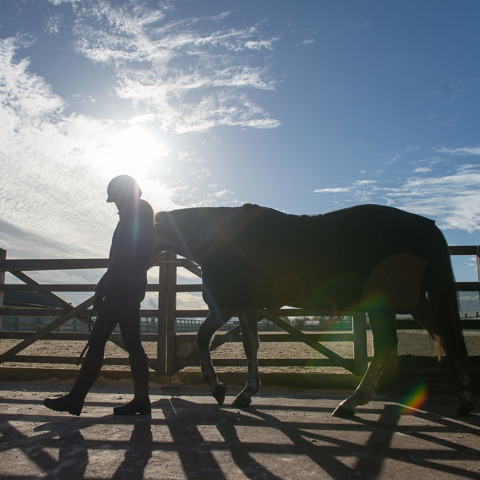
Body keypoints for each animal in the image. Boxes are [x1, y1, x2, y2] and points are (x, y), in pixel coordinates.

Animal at [153, 202, 472, 416]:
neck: (216, 235)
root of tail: (426, 225)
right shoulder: (247, 306)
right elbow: (250, 345)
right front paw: (247, 392)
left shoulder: (227, 304)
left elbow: (203, 337)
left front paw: (216, 387)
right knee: (416, 339)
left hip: (390, 302)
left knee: (423, 337)